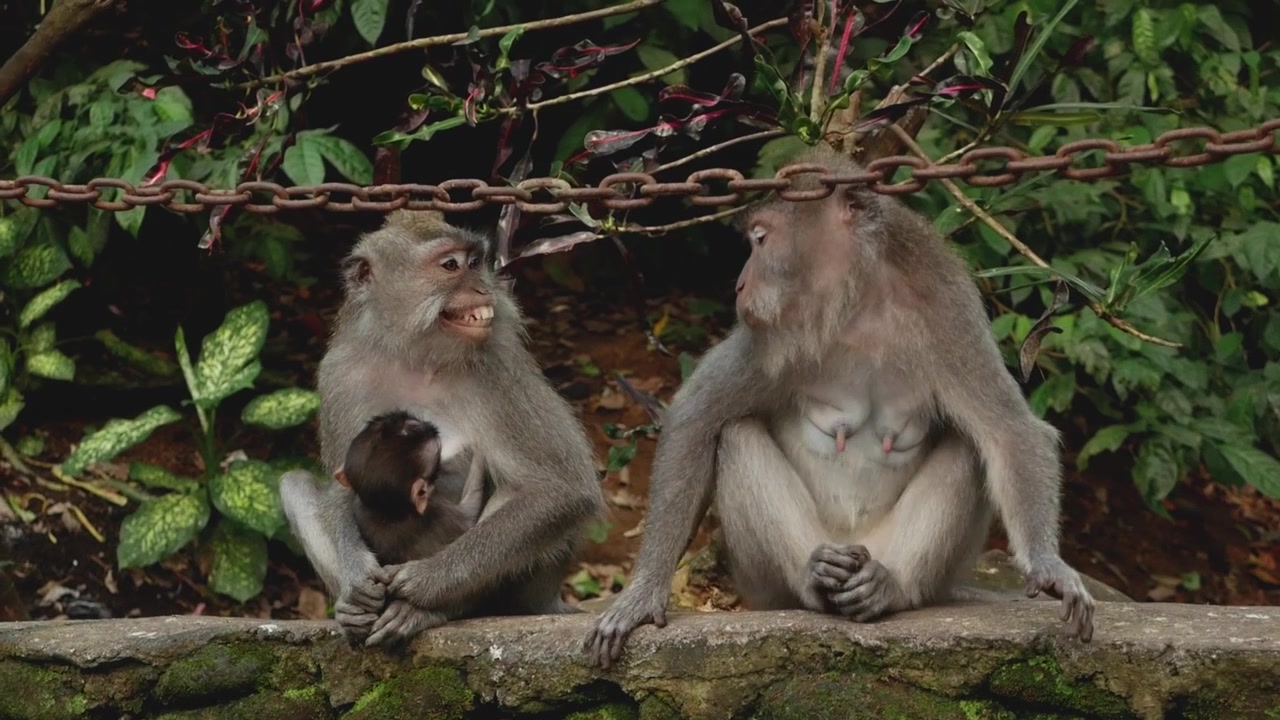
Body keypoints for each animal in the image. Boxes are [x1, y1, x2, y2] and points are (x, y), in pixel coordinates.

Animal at [333, 410, 486, 566]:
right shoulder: (439, 513)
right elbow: (469, 517)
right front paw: (478, 454)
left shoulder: (359, 507)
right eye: (434, 472)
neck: (387, 511)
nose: (429, 426)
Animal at [584, 144, 1095, 669]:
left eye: (762, 240)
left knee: (967, 450)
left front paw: (1050, 568)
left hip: (912, 563)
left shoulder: (948, 318)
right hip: (766, 582)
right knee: (737, 435)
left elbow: (1010, 432)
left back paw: (888, 588)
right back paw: (815, 577)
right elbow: (695, 419)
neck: (860, 306)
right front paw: (643, 593)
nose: (740, 286)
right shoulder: (771, 336)